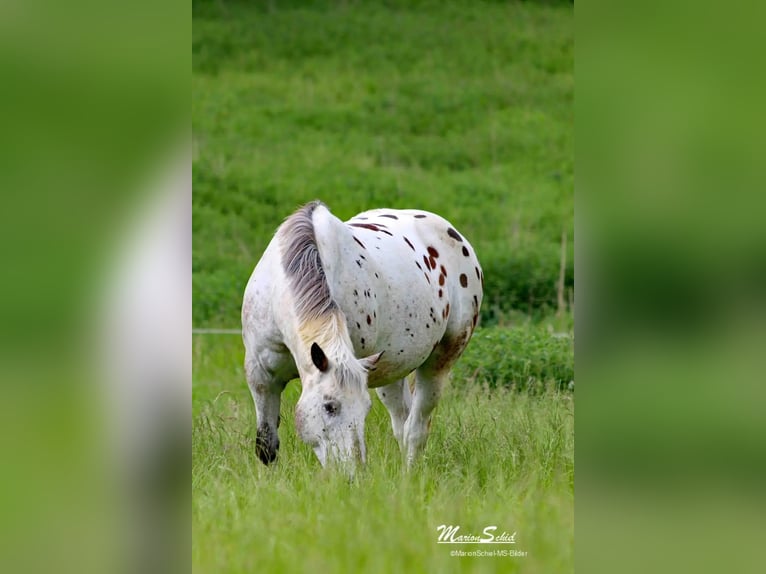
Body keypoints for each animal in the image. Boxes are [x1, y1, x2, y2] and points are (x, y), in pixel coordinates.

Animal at [242, 201, 483, 470]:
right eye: (330, 407)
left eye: (365, 408)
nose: (350, 471)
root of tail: (456, 236)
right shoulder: (261, 377)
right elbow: (266, 446)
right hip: (392, 372)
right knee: (402, 424)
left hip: (438, 364)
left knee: (415, 430)